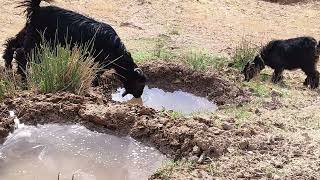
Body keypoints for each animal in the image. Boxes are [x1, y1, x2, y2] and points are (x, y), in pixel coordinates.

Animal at [2, 0, 145, 97]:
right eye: (140, 83)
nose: (139, 95)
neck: (117, 51)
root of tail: (36, 10)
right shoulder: (100, 61)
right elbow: (96, 72)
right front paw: (94, 84)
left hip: (29, 32)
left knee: (12, 43)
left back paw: (8, 65)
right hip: (37, 40)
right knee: (21, 54)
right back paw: (24, 78)